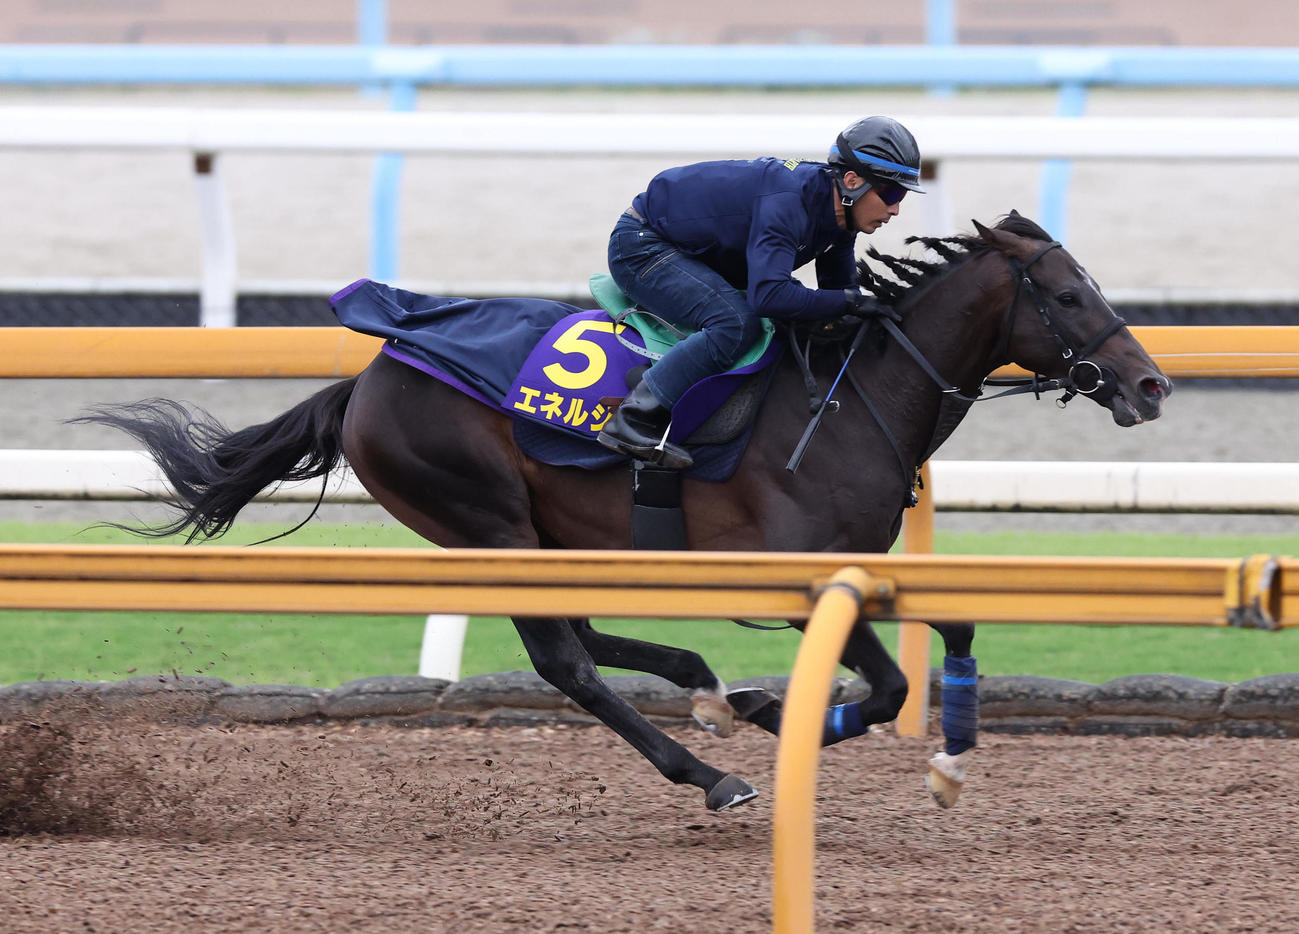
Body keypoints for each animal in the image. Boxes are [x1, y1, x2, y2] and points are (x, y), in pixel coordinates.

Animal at [78, 212, 1171, 812]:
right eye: (1066, 296)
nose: (1151, 385)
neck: (850, 393)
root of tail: (370, 376)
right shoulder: (800, 574)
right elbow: (885, 683)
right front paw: (787, 717)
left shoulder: (871, 565)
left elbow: (957, 628)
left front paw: (946, 758)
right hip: (486, 524)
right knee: (567, 663)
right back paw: (710, 767)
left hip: (548, 531)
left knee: (591, 636)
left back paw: (706, 686)